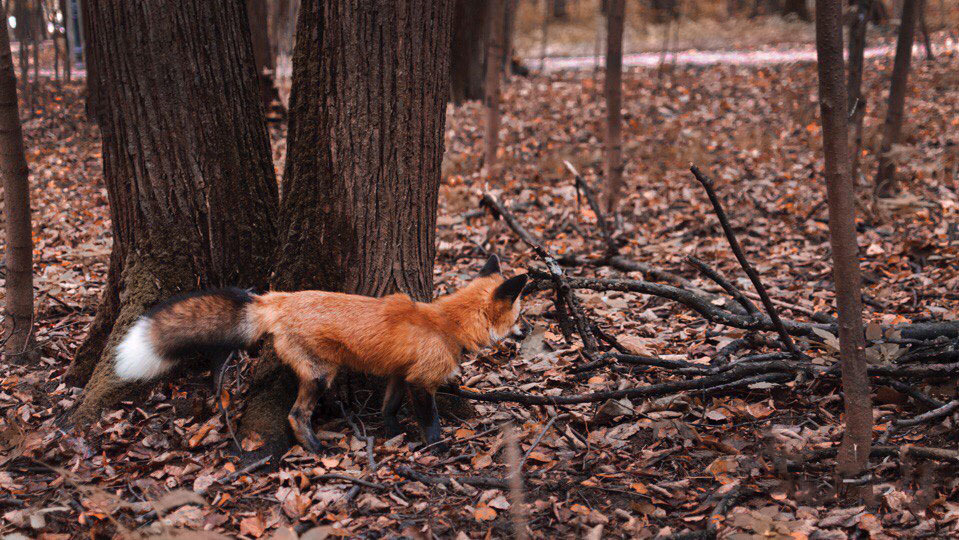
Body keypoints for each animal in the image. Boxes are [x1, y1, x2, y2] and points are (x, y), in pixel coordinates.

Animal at [117, 253, 532, 452]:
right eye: (521, 315)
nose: (530, 329)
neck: (447, 324)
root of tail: (276, 298)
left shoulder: (399, 374)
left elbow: (389, 408)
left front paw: (392, 433)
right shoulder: (421, 381)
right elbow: (430, 421)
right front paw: (437, 447)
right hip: (320, 374)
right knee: (295, 415)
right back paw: (315, 449)